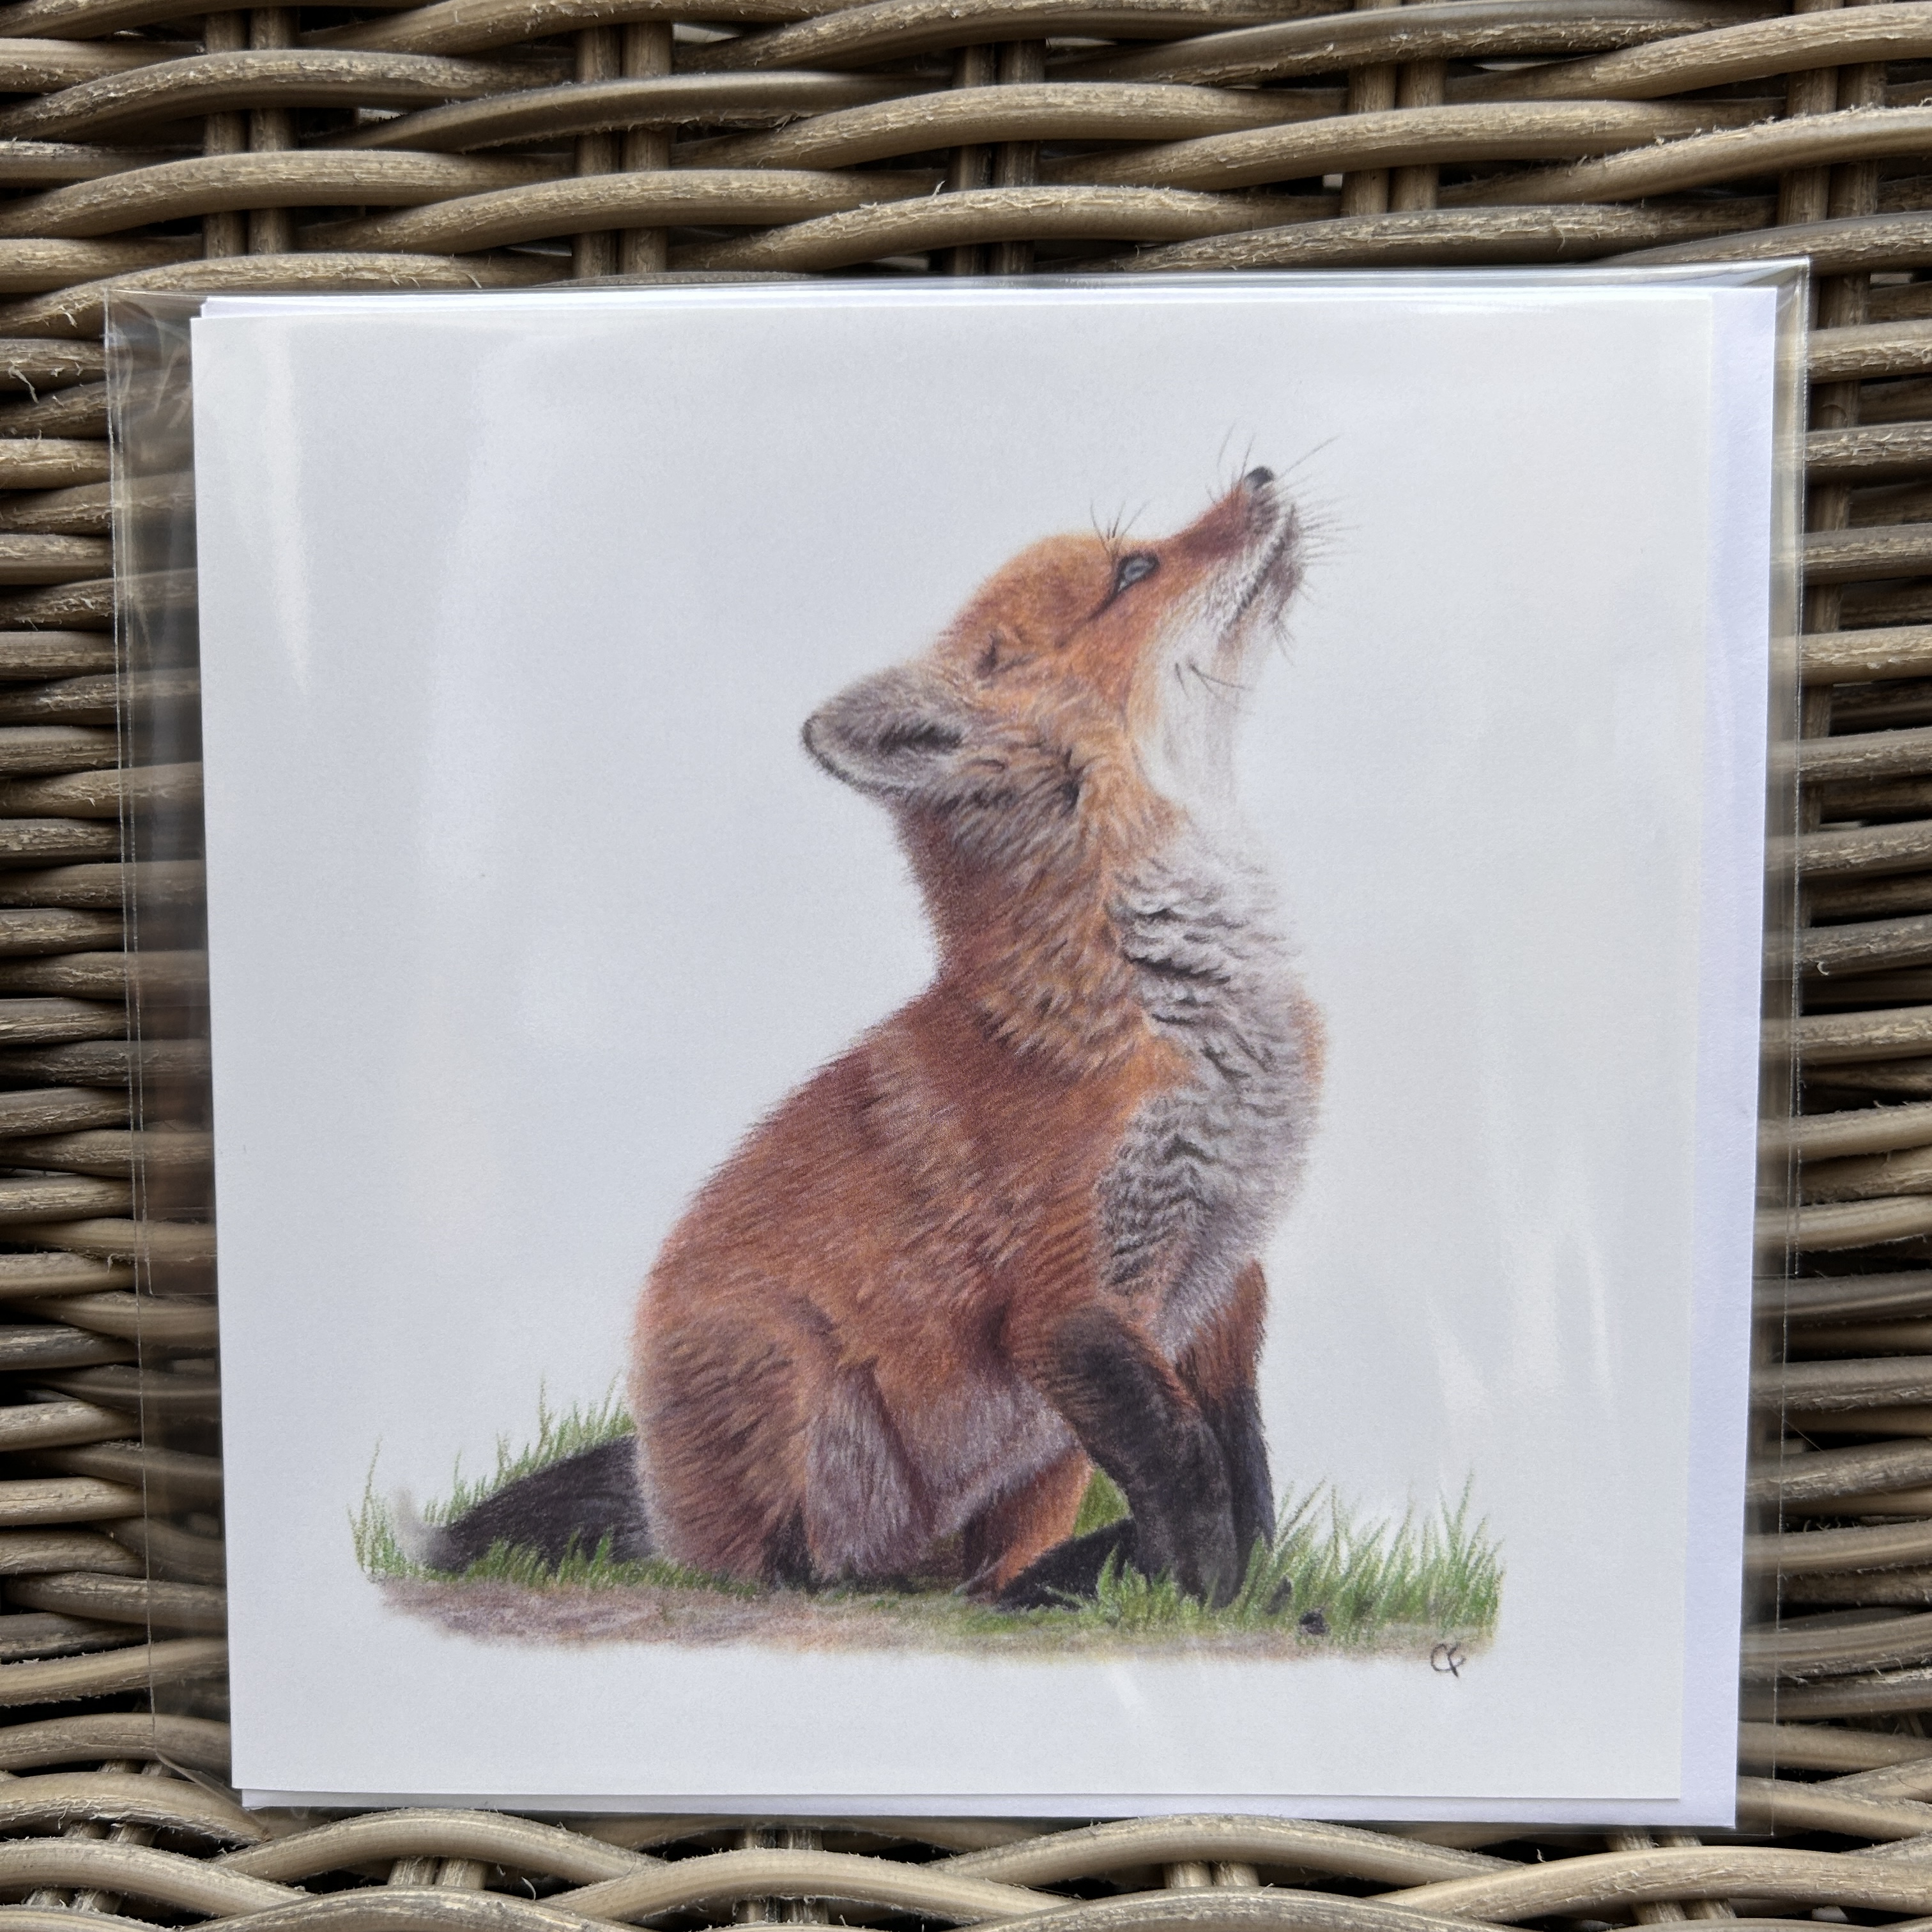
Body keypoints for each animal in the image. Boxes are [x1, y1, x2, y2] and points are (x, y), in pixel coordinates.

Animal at [422, 465, 1322, 1610]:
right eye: (1134, 568)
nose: (1260, 475)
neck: (1184, 1009)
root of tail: (658, 1502)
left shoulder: (1224, 1284)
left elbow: (1241, 1467)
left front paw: (1246, 1588)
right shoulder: (1070, 1302)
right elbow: (1187, 1465)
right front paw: (1198, 1597)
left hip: (1043, 1465)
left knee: (985, 1577)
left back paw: (1033, 1587)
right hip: (794, 1382)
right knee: (793, 1568)